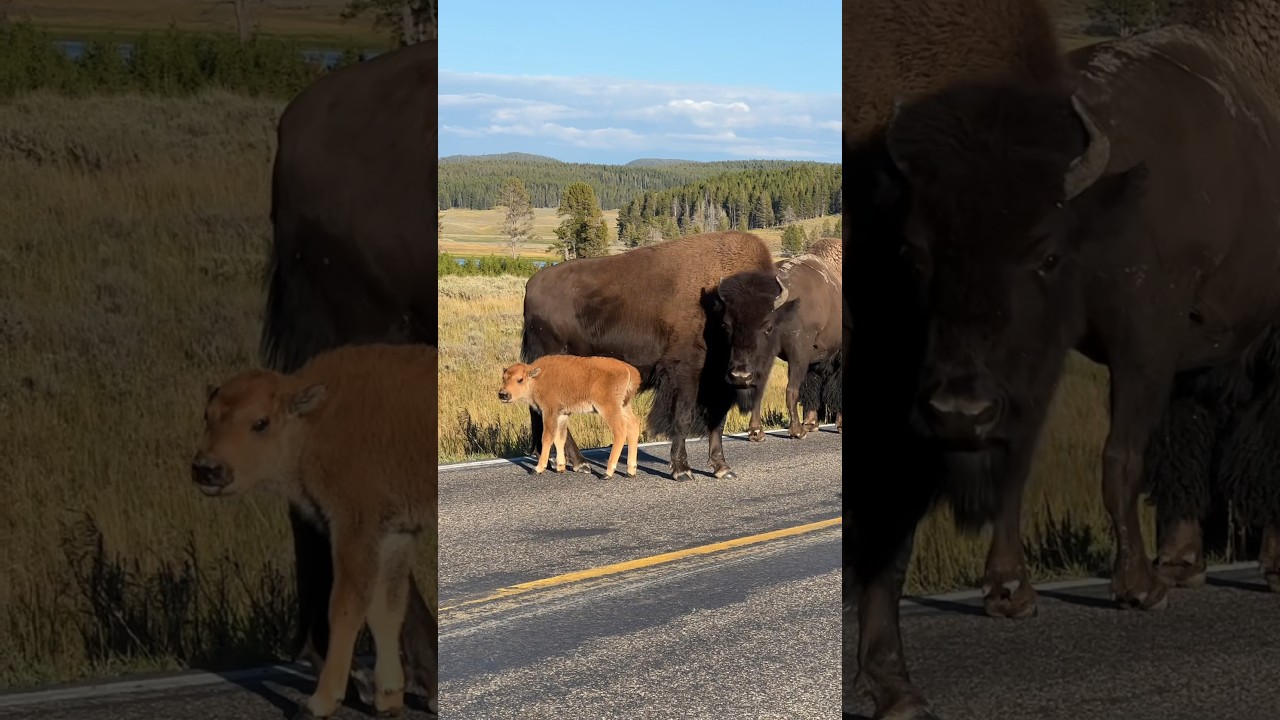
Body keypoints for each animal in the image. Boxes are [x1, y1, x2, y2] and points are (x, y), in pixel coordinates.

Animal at [520, 231, 775, 482]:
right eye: (726, 325)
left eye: (768, 326)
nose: (742, 375)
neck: (712, 306)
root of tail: (531, 285)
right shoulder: (686, 375)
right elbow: (682, 417)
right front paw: (682, 470)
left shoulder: (719, 387)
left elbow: (717, 424)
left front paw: (722, 468)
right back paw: (579, 463)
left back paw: (566, 462)